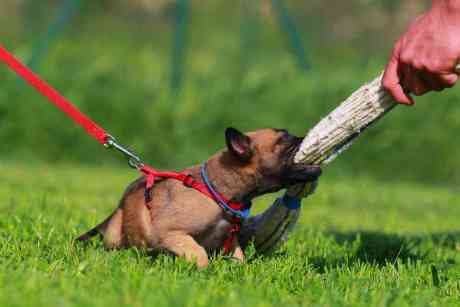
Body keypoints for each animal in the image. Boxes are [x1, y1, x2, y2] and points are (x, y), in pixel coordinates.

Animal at [76, 127, 320, 268]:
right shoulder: (171, 233)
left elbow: (239, 257)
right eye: (284, 140)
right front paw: (203, 272)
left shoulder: (229, 241)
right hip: (116, 234)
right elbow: (199, 253)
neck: (217, 192)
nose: (307, 138)